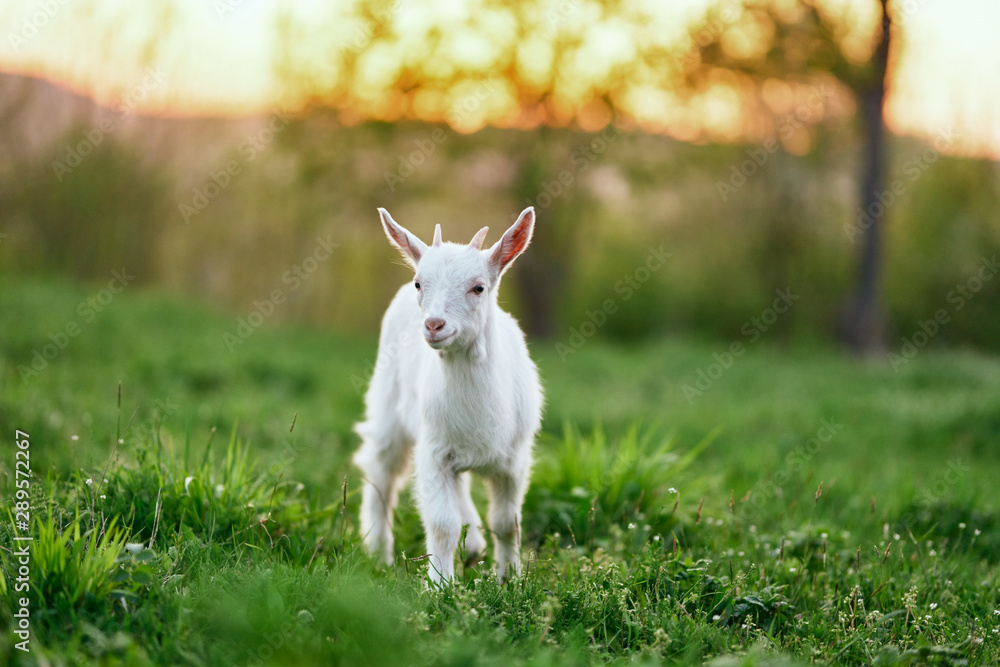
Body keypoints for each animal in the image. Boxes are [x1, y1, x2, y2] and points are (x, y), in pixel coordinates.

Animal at [353, 207, 543, 585]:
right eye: (419, 283)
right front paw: (441, 586)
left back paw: (474, 546)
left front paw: (509, 578)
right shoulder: (434, 453)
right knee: (381, 473)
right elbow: (443, 525)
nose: (433, 325)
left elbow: (507, 523)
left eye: (478, 287)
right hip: (387, 410)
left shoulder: (514, 461)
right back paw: (378, 553)